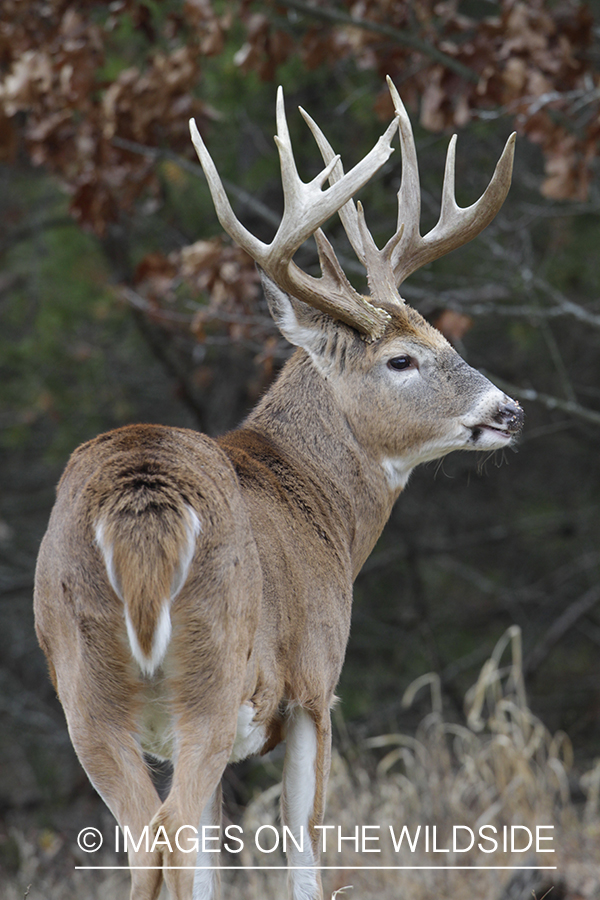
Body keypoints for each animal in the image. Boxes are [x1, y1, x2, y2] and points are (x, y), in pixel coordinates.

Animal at [34, 79, 520, 900]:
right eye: (401, 359)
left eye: (444, 338)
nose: (508, 410)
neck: (322, 506)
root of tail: (140, 503)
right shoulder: (313, 686)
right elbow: (304, 856)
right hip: (211, 668)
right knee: (165, 836)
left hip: (83, 687)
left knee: (147, 842)